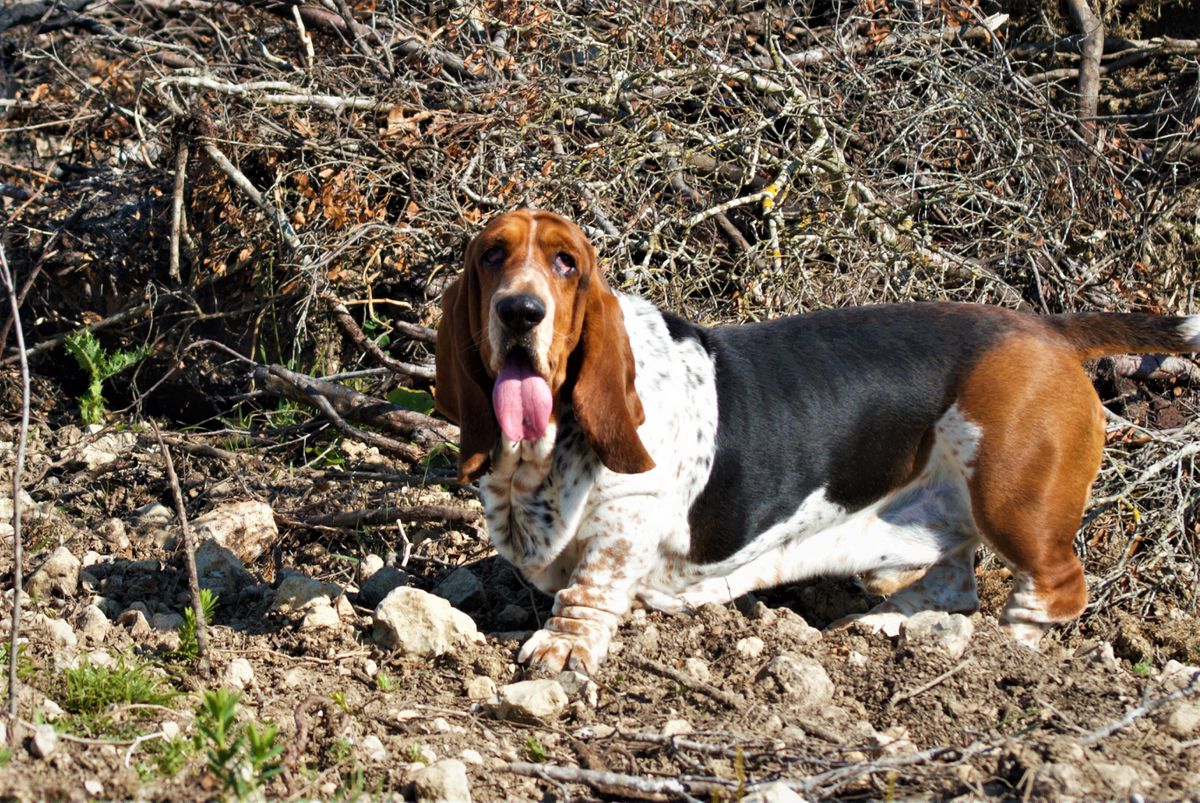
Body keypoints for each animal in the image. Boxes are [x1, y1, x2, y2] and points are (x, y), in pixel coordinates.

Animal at [434, 210, 1200, 672]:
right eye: (491, 256)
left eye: (566, 263)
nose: (520, 311)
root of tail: (1048, 329)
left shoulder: (627, 519)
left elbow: (591, 585)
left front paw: (563, 649)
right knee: (954, 582)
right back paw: (885, 627)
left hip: (1013, 500)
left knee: (1055, 587)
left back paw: (1007, 649)